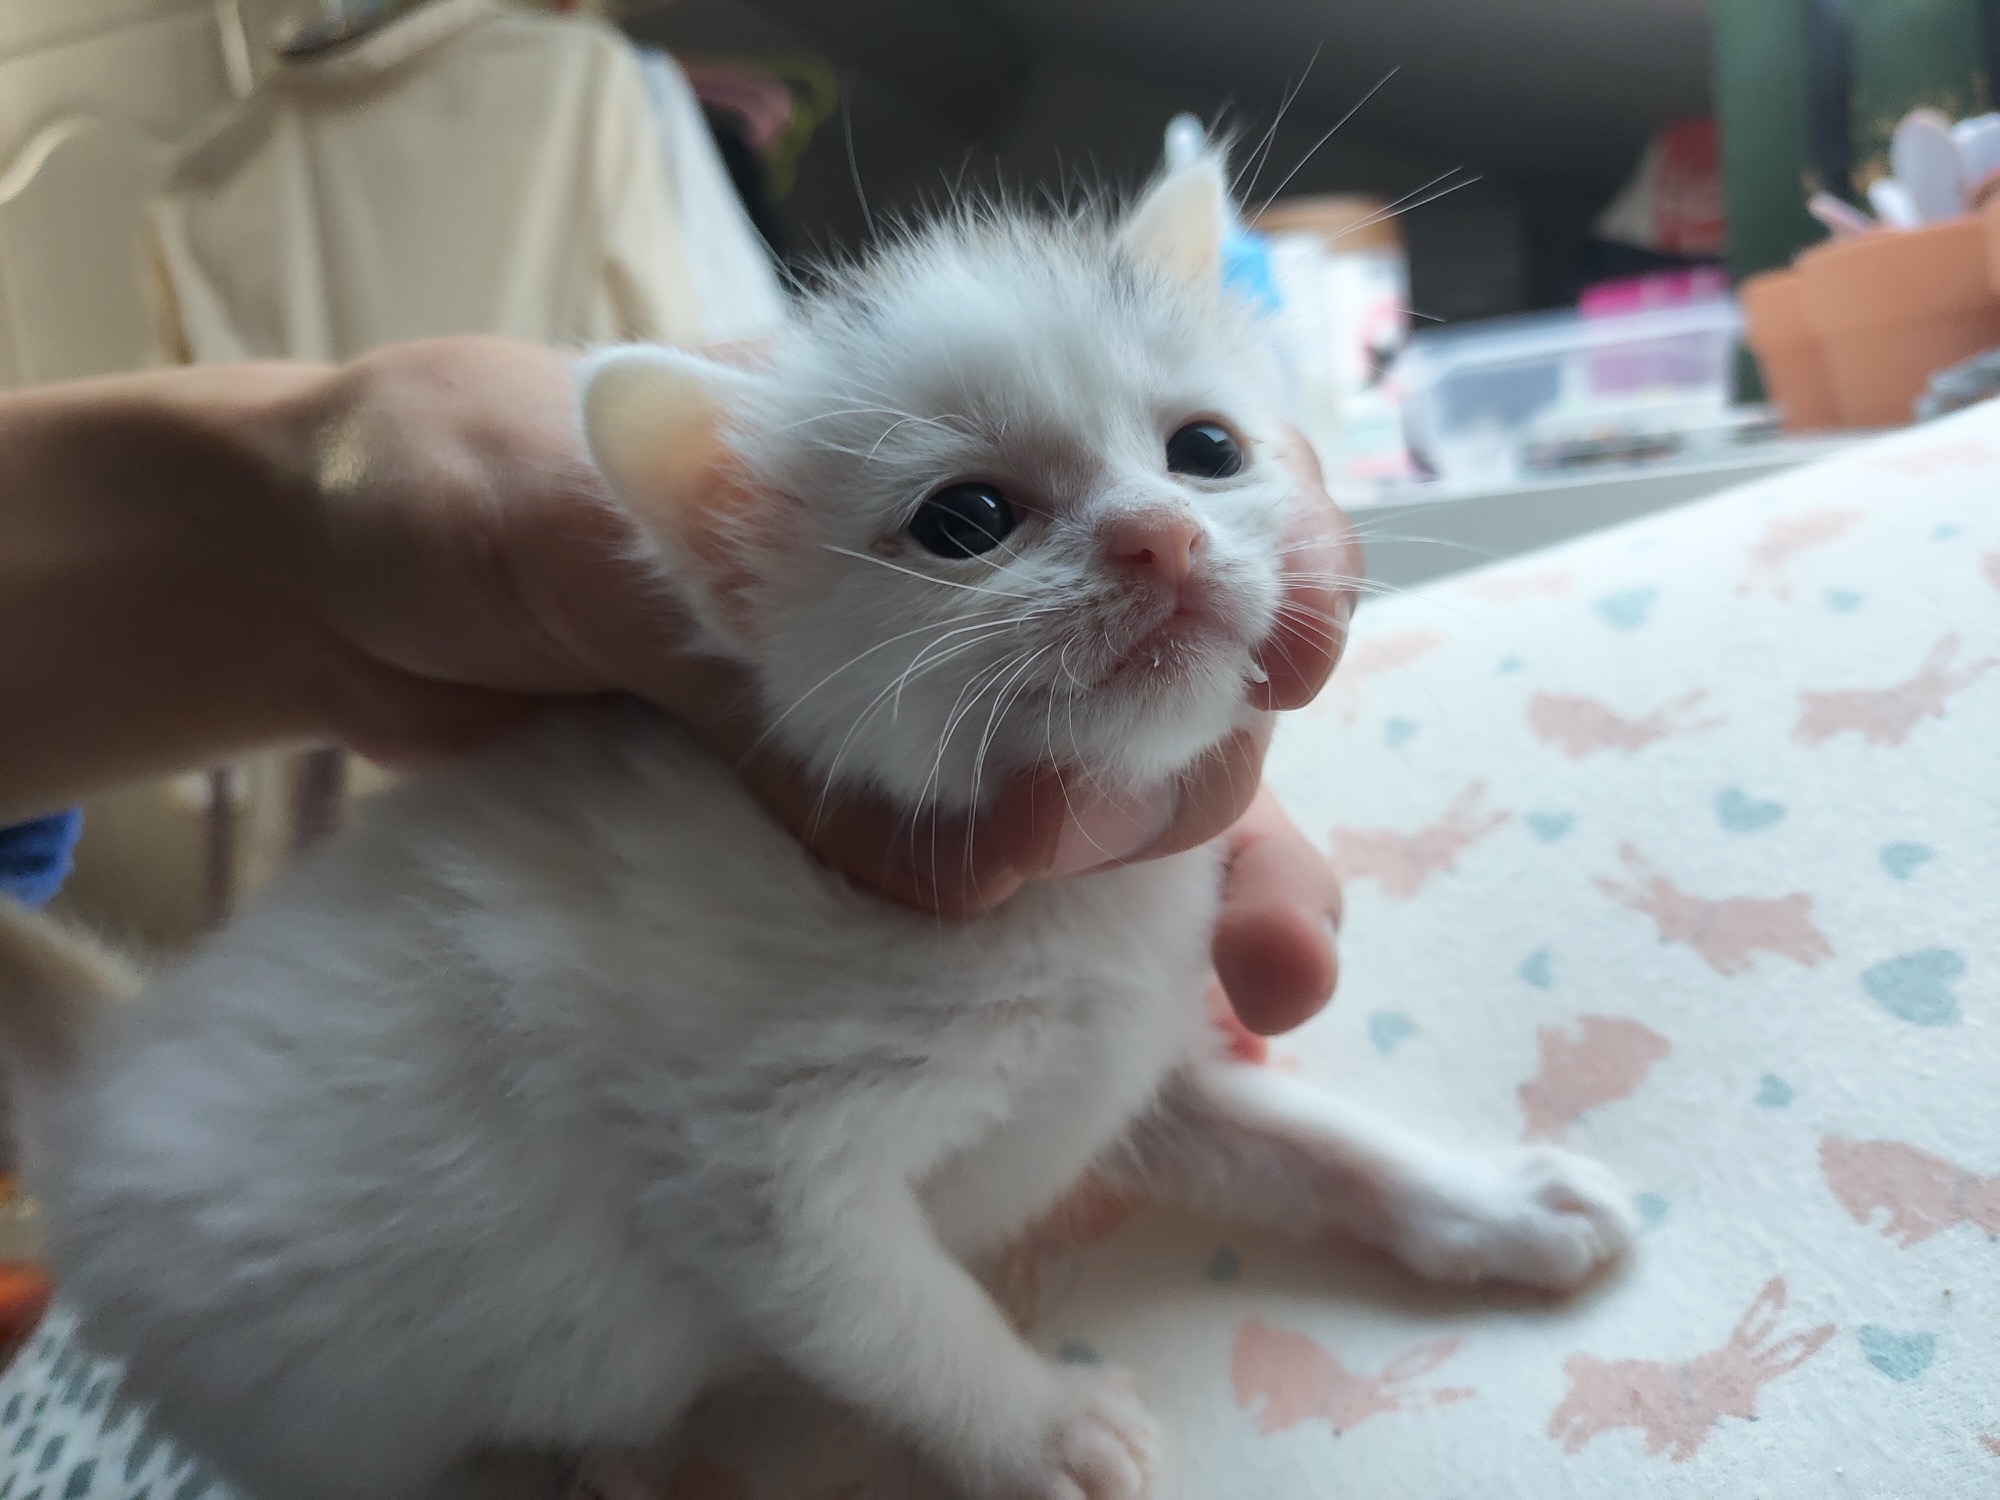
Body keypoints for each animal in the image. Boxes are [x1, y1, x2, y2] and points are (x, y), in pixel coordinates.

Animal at [0, 156, 1634, 1500]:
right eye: (966, 521)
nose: (1160, 537)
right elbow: (896, 1316)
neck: (1057, 907)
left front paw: (1482, 1202)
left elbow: (1282, 1138)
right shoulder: (744, 1166)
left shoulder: (1125, 1046)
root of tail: (90, 1104)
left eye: (1206, 450)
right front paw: (1038, 1428)